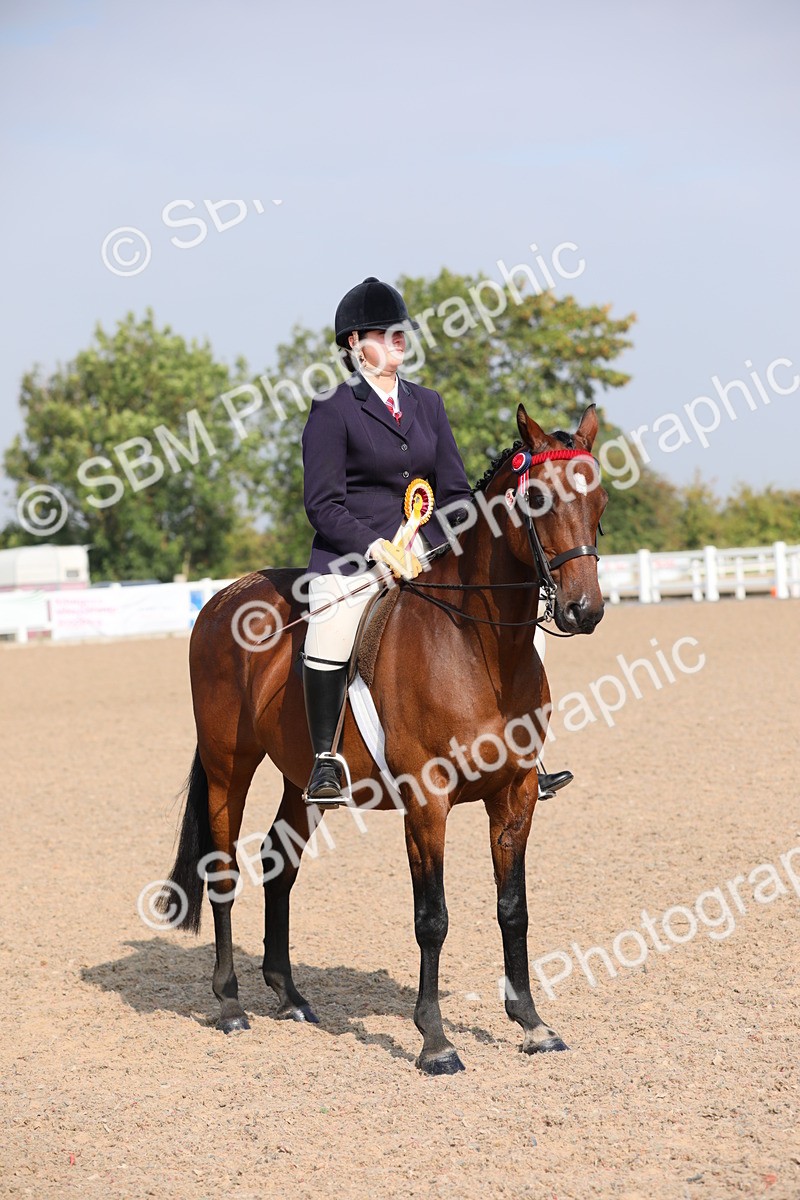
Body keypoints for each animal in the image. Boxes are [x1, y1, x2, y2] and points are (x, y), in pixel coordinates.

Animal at [158, 402, 607, 1074]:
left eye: (599, 496)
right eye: (535, 498)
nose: (584, 611)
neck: (480, 648)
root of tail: (222, 598)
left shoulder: (516, 795)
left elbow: (513, 909)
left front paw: (531, 1024)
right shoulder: (427, 802)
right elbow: (432, 918)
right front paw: (436, 1042)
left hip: (300, 780)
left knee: (278, 864)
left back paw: (290, 997)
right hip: (227, 766)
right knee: (223, 871)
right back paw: (231, 1005)